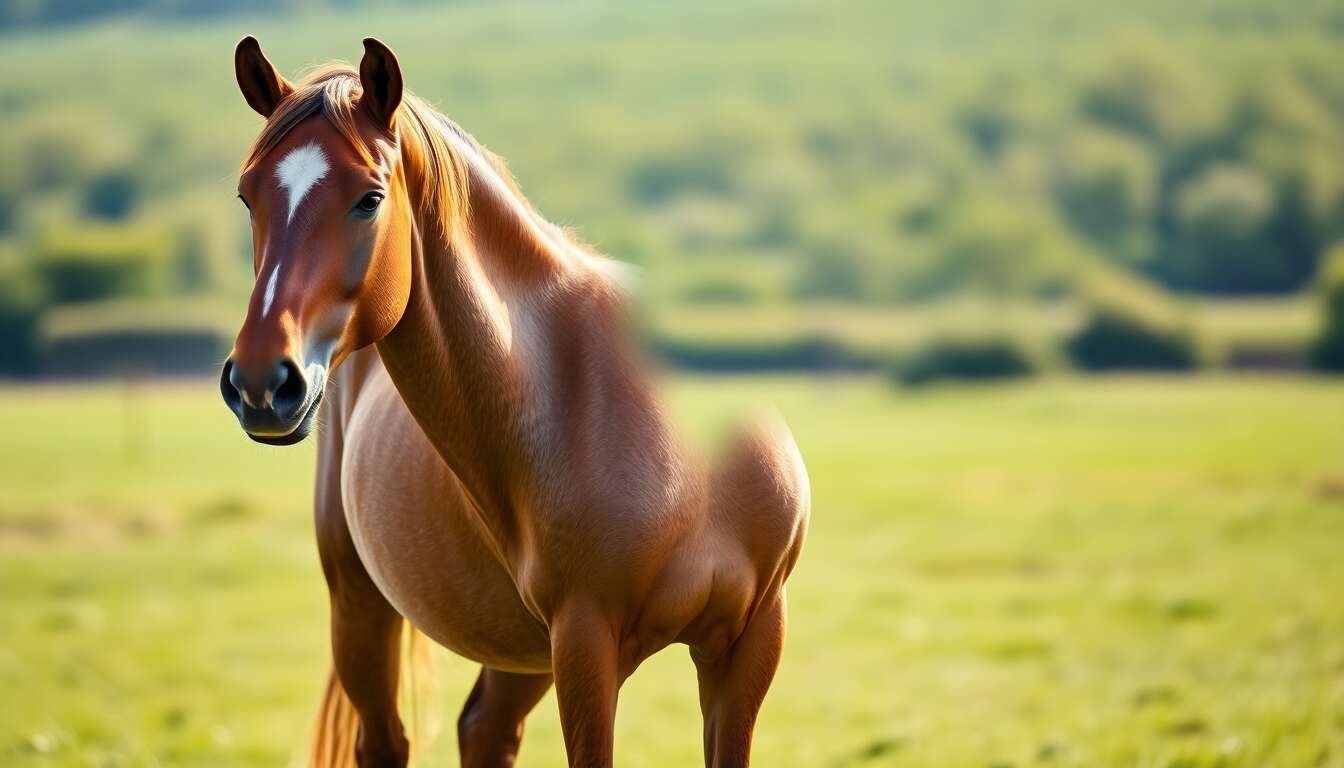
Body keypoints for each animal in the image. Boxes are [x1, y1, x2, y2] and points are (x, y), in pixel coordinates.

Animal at [221, 36, 809, 768]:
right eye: (248, 197)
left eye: (369, 198)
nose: (260, 383)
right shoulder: (585, 644)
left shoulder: (749, 642)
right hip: (360, 604)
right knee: (387, 742)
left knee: (484, 729)